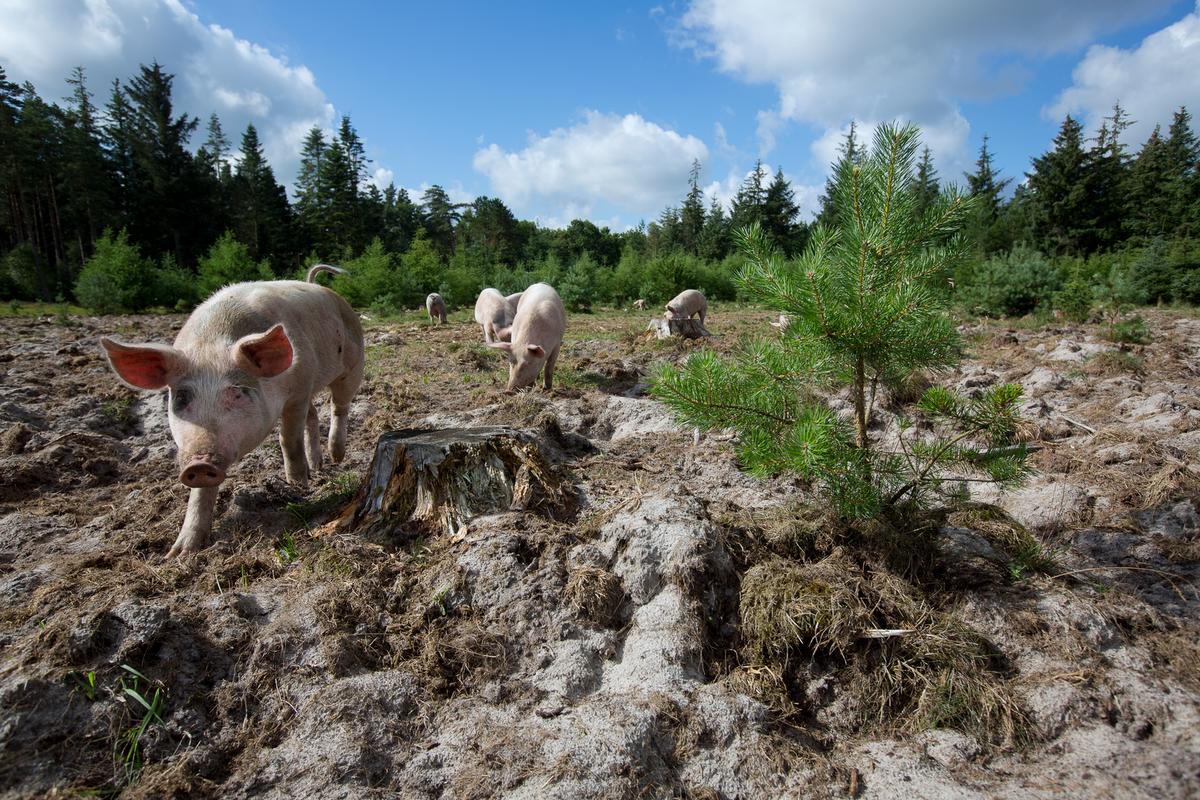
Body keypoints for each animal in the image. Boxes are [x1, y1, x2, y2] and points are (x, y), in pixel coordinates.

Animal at [97, 262, 362, 556]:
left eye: (237, 391)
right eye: (181, 397)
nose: (200, 463)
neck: (212, 341)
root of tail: (320, 287)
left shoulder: (298, 390)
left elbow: (288, 439)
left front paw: (298, 484)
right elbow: (202, 491)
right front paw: (180, 553)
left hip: (352, 366)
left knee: (339, 405)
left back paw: (336, 456)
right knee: (314, 417)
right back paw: (318, 465)